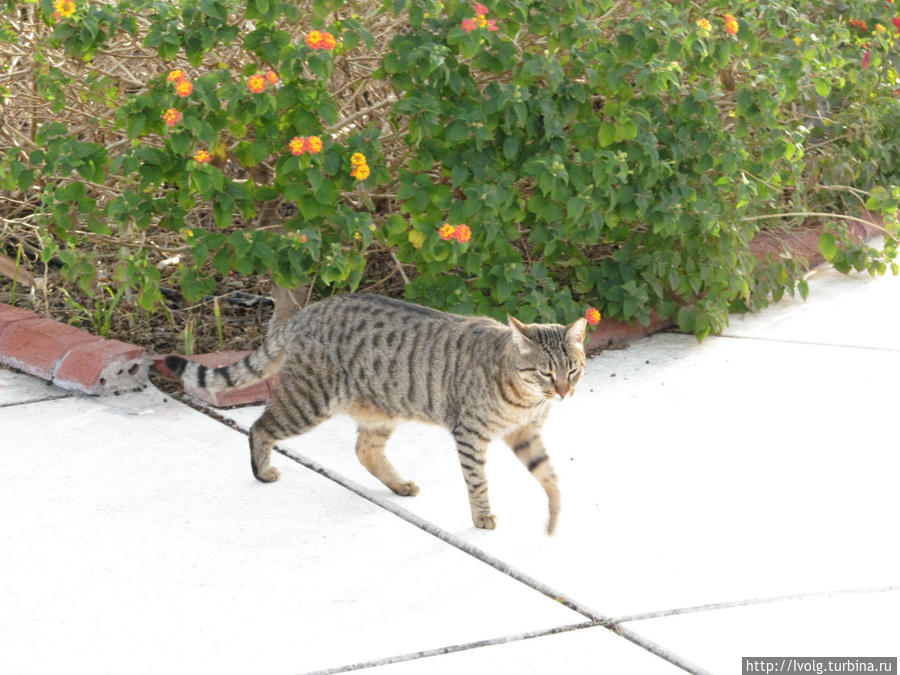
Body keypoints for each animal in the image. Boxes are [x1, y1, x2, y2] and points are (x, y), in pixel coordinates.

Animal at [167, 294, 592, 532]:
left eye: (572, 370)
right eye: (545, 372)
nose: (564, 391)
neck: (527, 399)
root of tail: (309, 311)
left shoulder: (526, 435)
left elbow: (548, 474)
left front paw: (555, 512)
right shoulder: (470, 434)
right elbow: (477, 482)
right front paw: (482, 516)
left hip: (381, 409)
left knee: (364, 450)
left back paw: (399, 485)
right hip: (308, 402)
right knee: (260, 427)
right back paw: (263, 471)